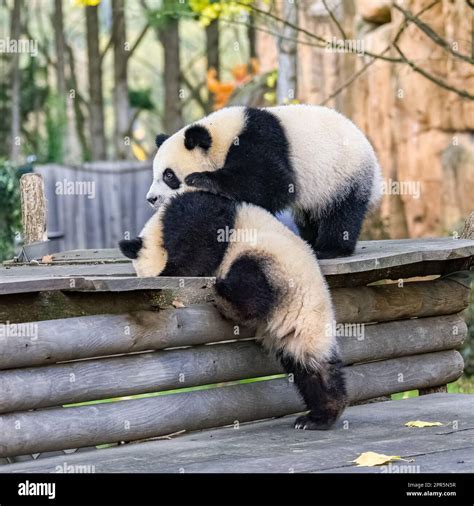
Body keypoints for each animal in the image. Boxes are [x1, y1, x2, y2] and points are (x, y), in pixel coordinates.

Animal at [118, 192, 348, 428]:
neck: (157, 227)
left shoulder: (197, 214)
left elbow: (198, 245)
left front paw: (170, 271)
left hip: (272, 263)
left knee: (250, 286)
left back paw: (223, 292)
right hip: (300, 330)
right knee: (312, 369)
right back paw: (321, 415)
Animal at [146, 104, 384, 258]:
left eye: (168, 176)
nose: (151, 199)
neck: (221, 135)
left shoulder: (259, 140)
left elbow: (273, 182)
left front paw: (202, 180)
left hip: (344, 172)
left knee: (342, 213)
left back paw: (330, 248)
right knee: (310, 214)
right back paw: (309, 240)